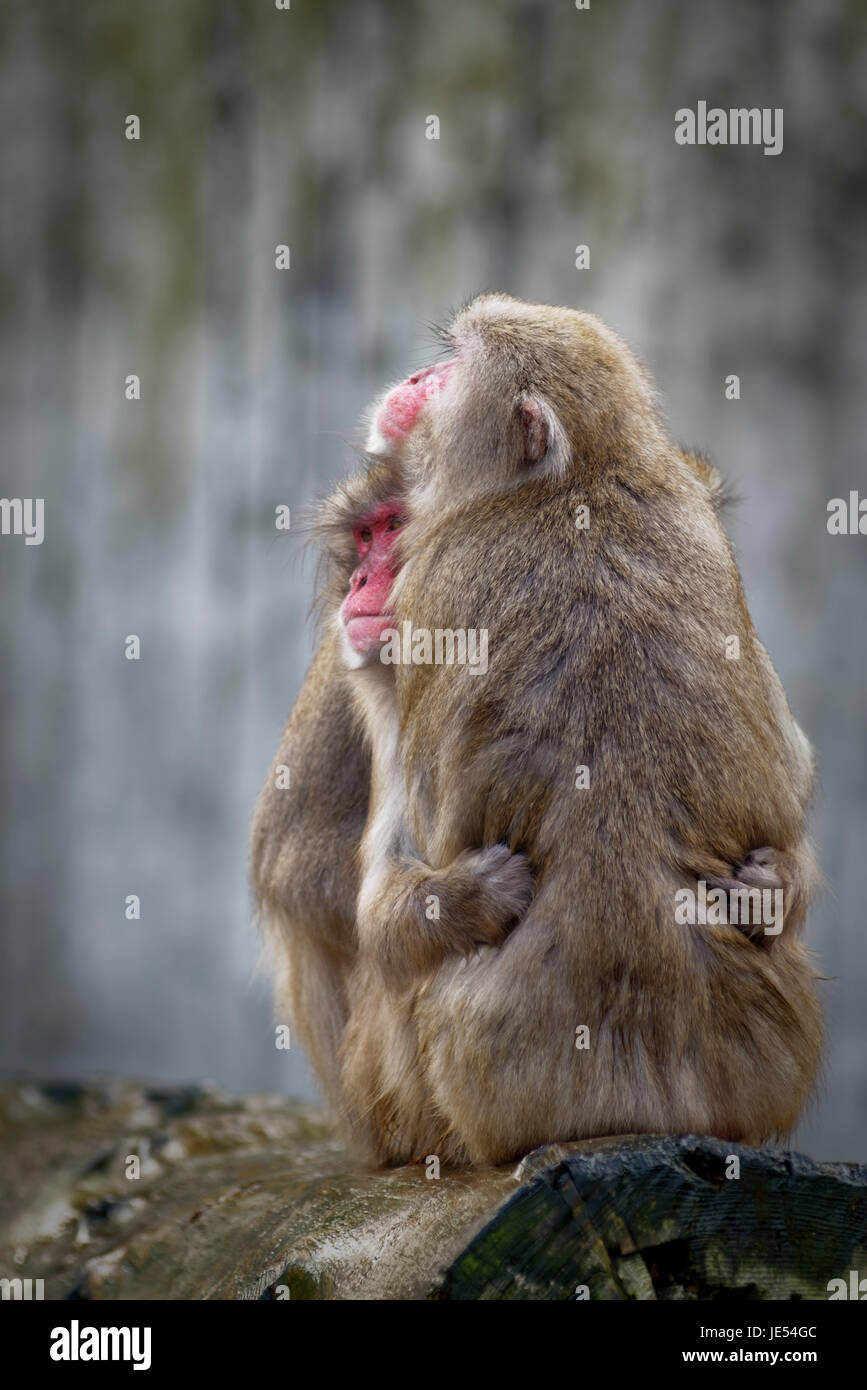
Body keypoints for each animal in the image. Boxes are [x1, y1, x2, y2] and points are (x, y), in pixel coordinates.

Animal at [326, 296, 828, 1173]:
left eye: (453, 367)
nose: (416, 378)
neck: (578, 476)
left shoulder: (431, 579)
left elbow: (389, 888)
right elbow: (790, 779)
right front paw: (769, 883)